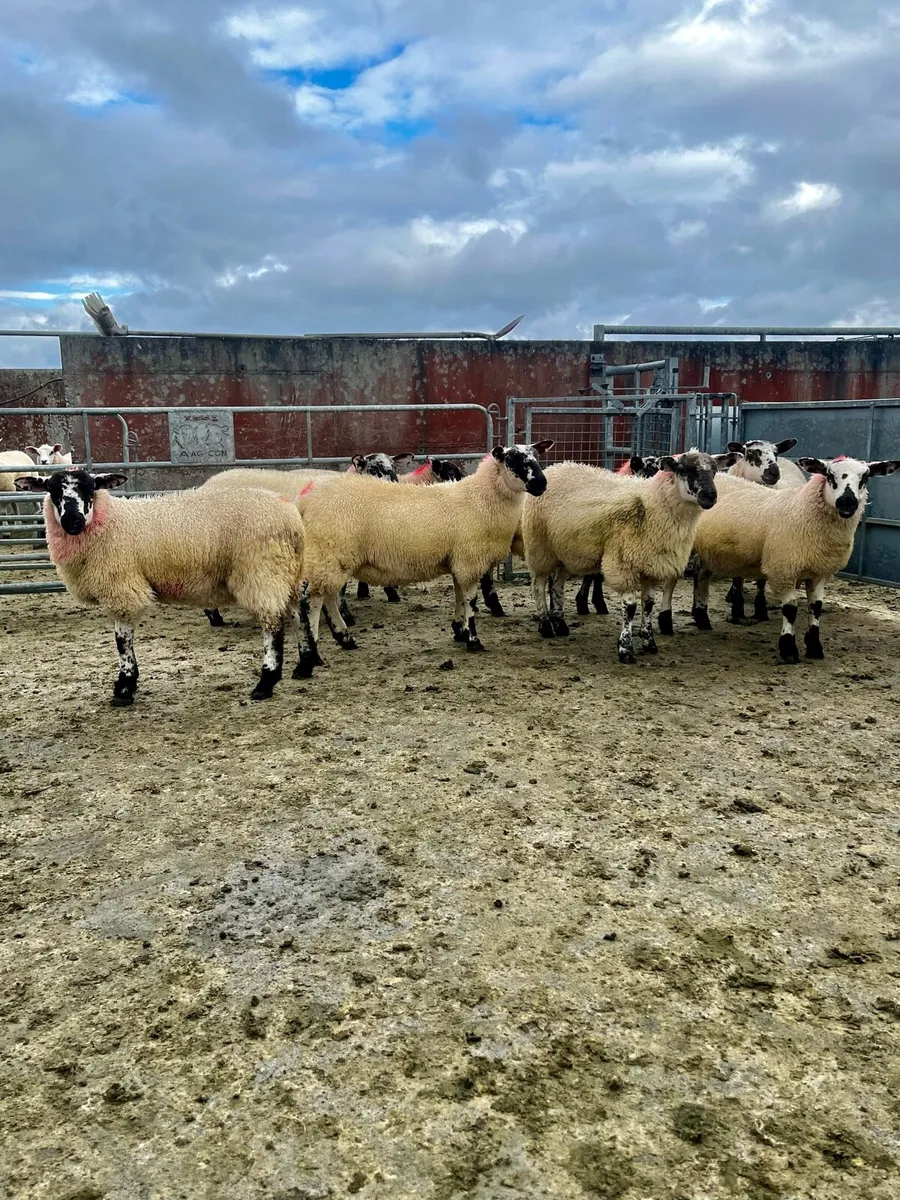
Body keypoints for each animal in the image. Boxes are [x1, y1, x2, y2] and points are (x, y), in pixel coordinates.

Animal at [15, 469, 306, 704]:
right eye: (53, 490)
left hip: (261, 571)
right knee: (298, 614)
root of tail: (291, 518)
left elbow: (122, 641)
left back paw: (266, 682)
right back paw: (306, 664)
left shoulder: (121, 587)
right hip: (286, 571)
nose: (72, 521)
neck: (111, 522)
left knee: (272, 626)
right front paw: (126, 684)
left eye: (90, 488)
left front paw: (125, 687)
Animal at [292, 442, 552, 675]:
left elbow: (459, 596)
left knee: (327, 596)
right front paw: (473, 639)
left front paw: (459, 630)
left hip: (332, 558)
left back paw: (344, 638)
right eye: (512, 460)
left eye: (537, 456)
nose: (542, 484)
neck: (480, 498)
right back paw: (311, 655)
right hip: (329, 551)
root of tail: (305, 500)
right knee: (311, 601)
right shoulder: (470, 560)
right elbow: (470, 601)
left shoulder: (458, 561)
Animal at [521, 450, 738, 663]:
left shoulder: (652, 565)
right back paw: (545, 626)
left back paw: (561, 625)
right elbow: (631, 607)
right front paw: (625, 649)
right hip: (540, 547)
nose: (710, 496)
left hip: (563, 552)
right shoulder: (623, 564)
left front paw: (649, 643)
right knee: (538, 584)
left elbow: (648, 605)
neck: (651, 505)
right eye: (685, 469)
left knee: (557, 585)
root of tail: (558, 466)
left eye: (714, 471)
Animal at [690, 455, 900, 661]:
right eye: (830, 475)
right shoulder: (783, 569)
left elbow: (816, 607)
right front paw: (788, 649)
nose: (847, 502)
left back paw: (702, 618)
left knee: (701, 575)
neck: (803, 511)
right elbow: (791, 609)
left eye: (865, 478)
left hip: (711, 551)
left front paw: (814, 647)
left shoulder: (819, 572)